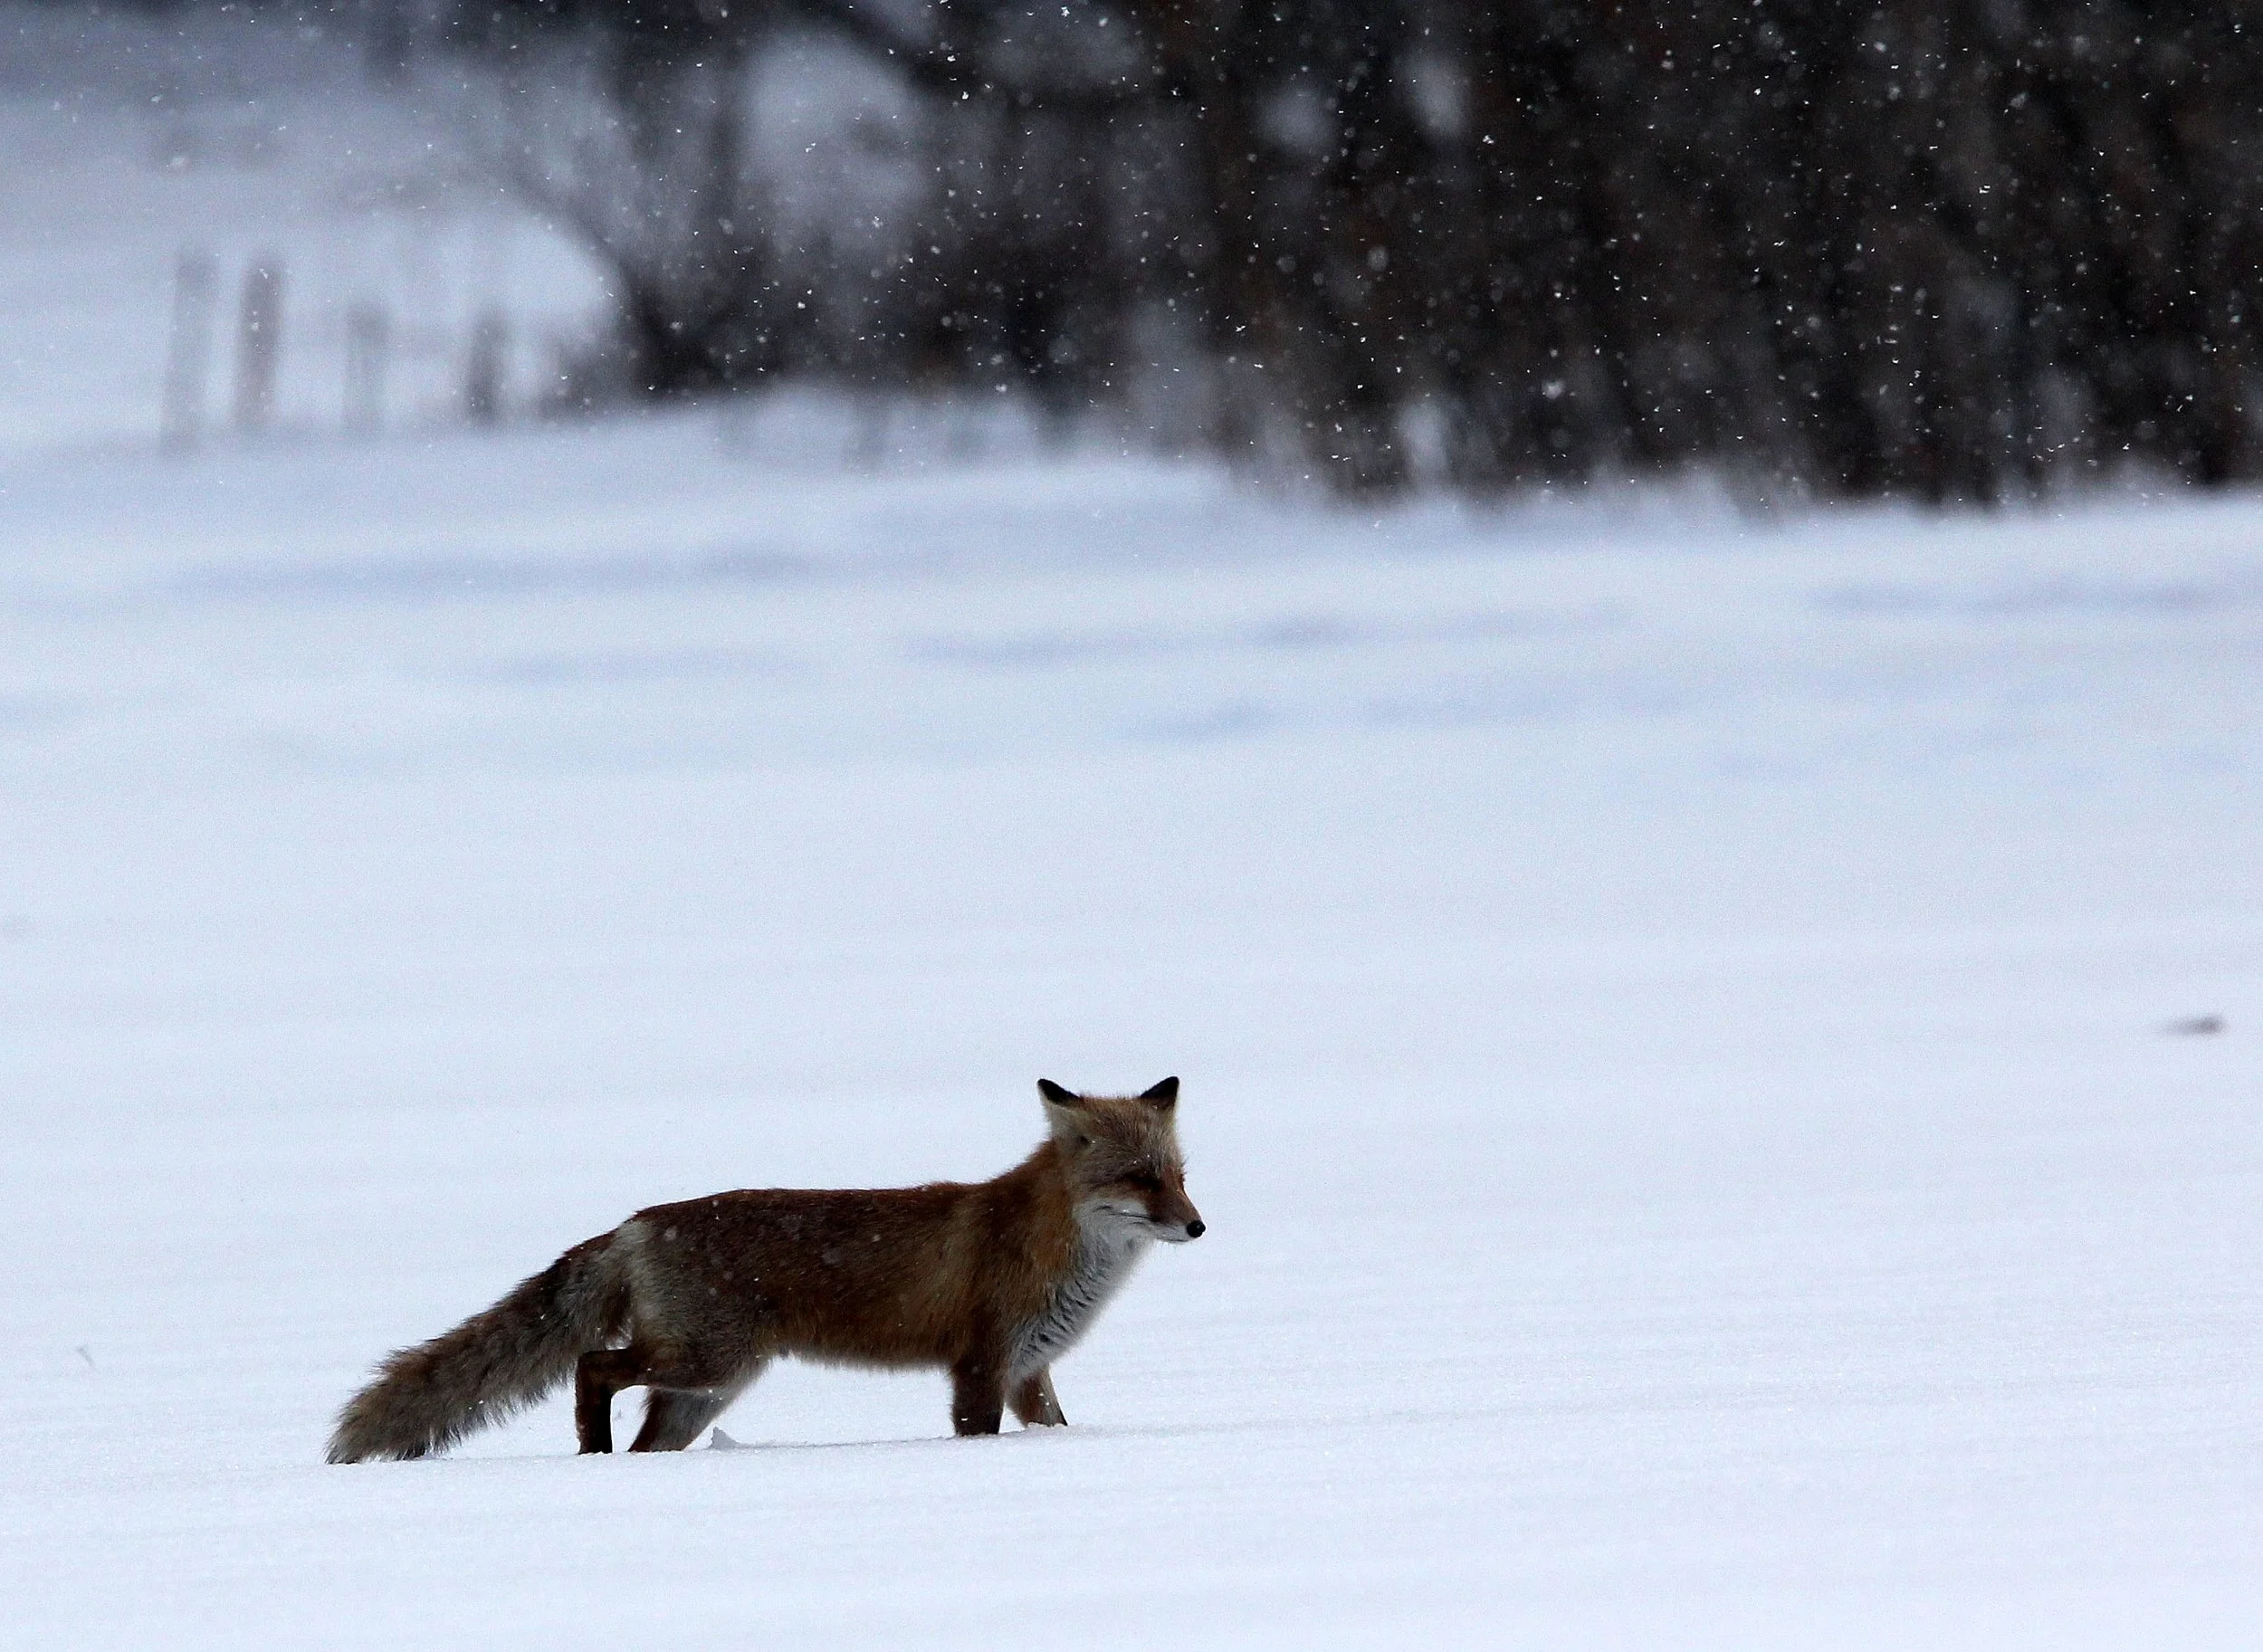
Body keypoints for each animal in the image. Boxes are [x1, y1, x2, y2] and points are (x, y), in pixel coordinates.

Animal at [327, 1077, 1203, 1462]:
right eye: (1139, 1179)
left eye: (1180, 1174)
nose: (1198, 1226)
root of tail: (634, 1222)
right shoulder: (982, 1364)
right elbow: (974, 1431)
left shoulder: (1030, 1371)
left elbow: (1054, 1427)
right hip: (707, 1361)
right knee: (591, 1365)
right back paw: (591, 1454)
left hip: (703, 1391)